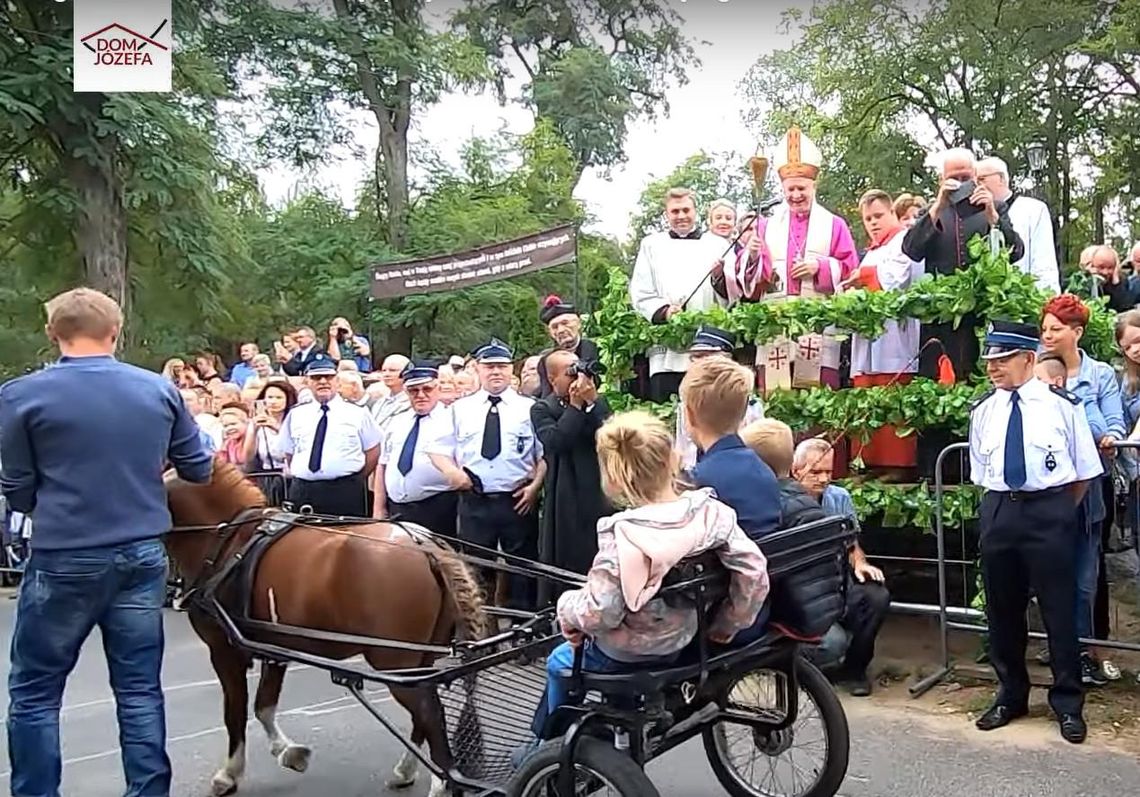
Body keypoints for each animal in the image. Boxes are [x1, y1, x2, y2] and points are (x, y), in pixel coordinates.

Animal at [163, 460, 483, 797]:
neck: (229, 539)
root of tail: (427, 547)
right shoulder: (276, 649)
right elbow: (264, 706)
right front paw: (290, 753)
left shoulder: (223, 651)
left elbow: (235, 712)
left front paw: (229, 773)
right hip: (419, 662)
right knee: (423, 714)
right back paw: (407, 770)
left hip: (395, 663)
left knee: (429, 713)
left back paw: (441, 781)